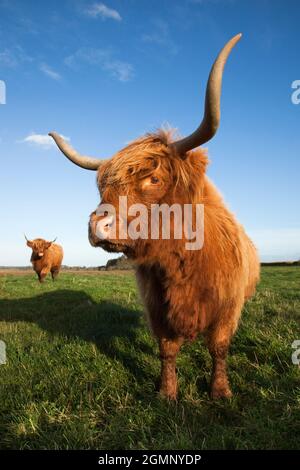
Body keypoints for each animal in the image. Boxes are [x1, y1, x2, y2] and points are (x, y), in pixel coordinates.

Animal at [49, 34, 260, 400]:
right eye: (103, 185)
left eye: (155, 179)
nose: (97, 225)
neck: (183, 262)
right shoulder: (156, 308)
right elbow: (167, 349)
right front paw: (166, 393)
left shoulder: (228, 308)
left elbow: (219, 348)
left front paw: (220, 391)